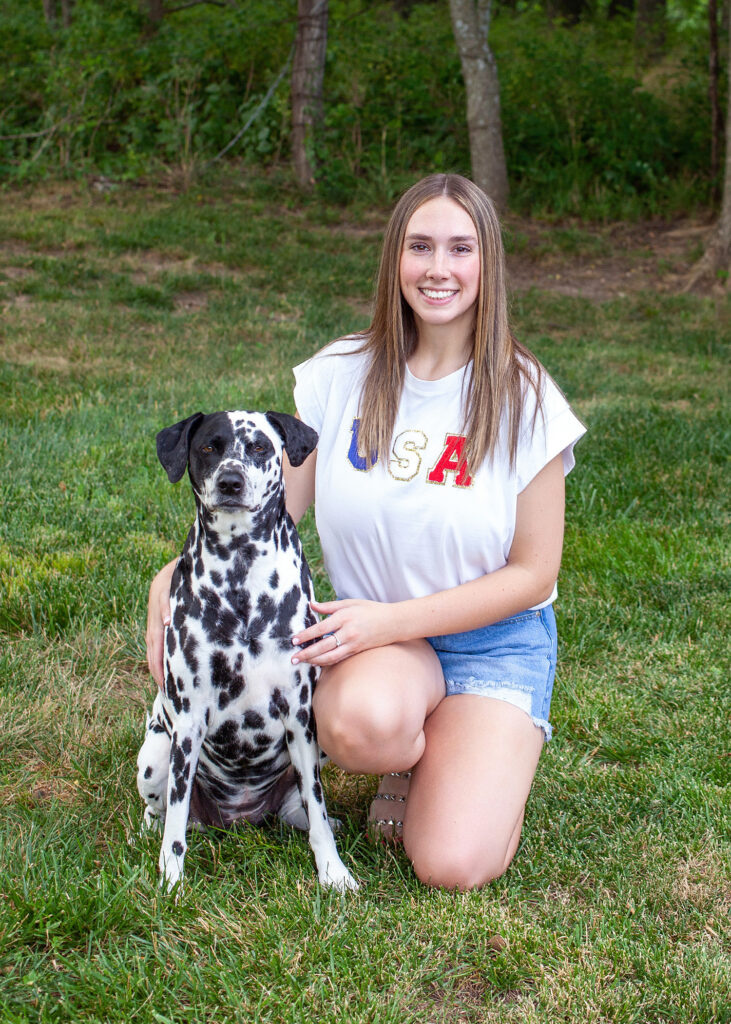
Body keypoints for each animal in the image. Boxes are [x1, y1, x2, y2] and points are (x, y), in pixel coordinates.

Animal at [135, 409, 358, 897]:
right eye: (208, 447)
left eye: (259, 447)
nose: (231, 481)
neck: (239, 571)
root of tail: (238, 817)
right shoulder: (189, 721)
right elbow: (175, 818)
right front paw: (171, 878)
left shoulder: (300, 714)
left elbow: (318, 809)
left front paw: (333, 872)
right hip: (156, 755)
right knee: (162, 813)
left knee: (305, 808)